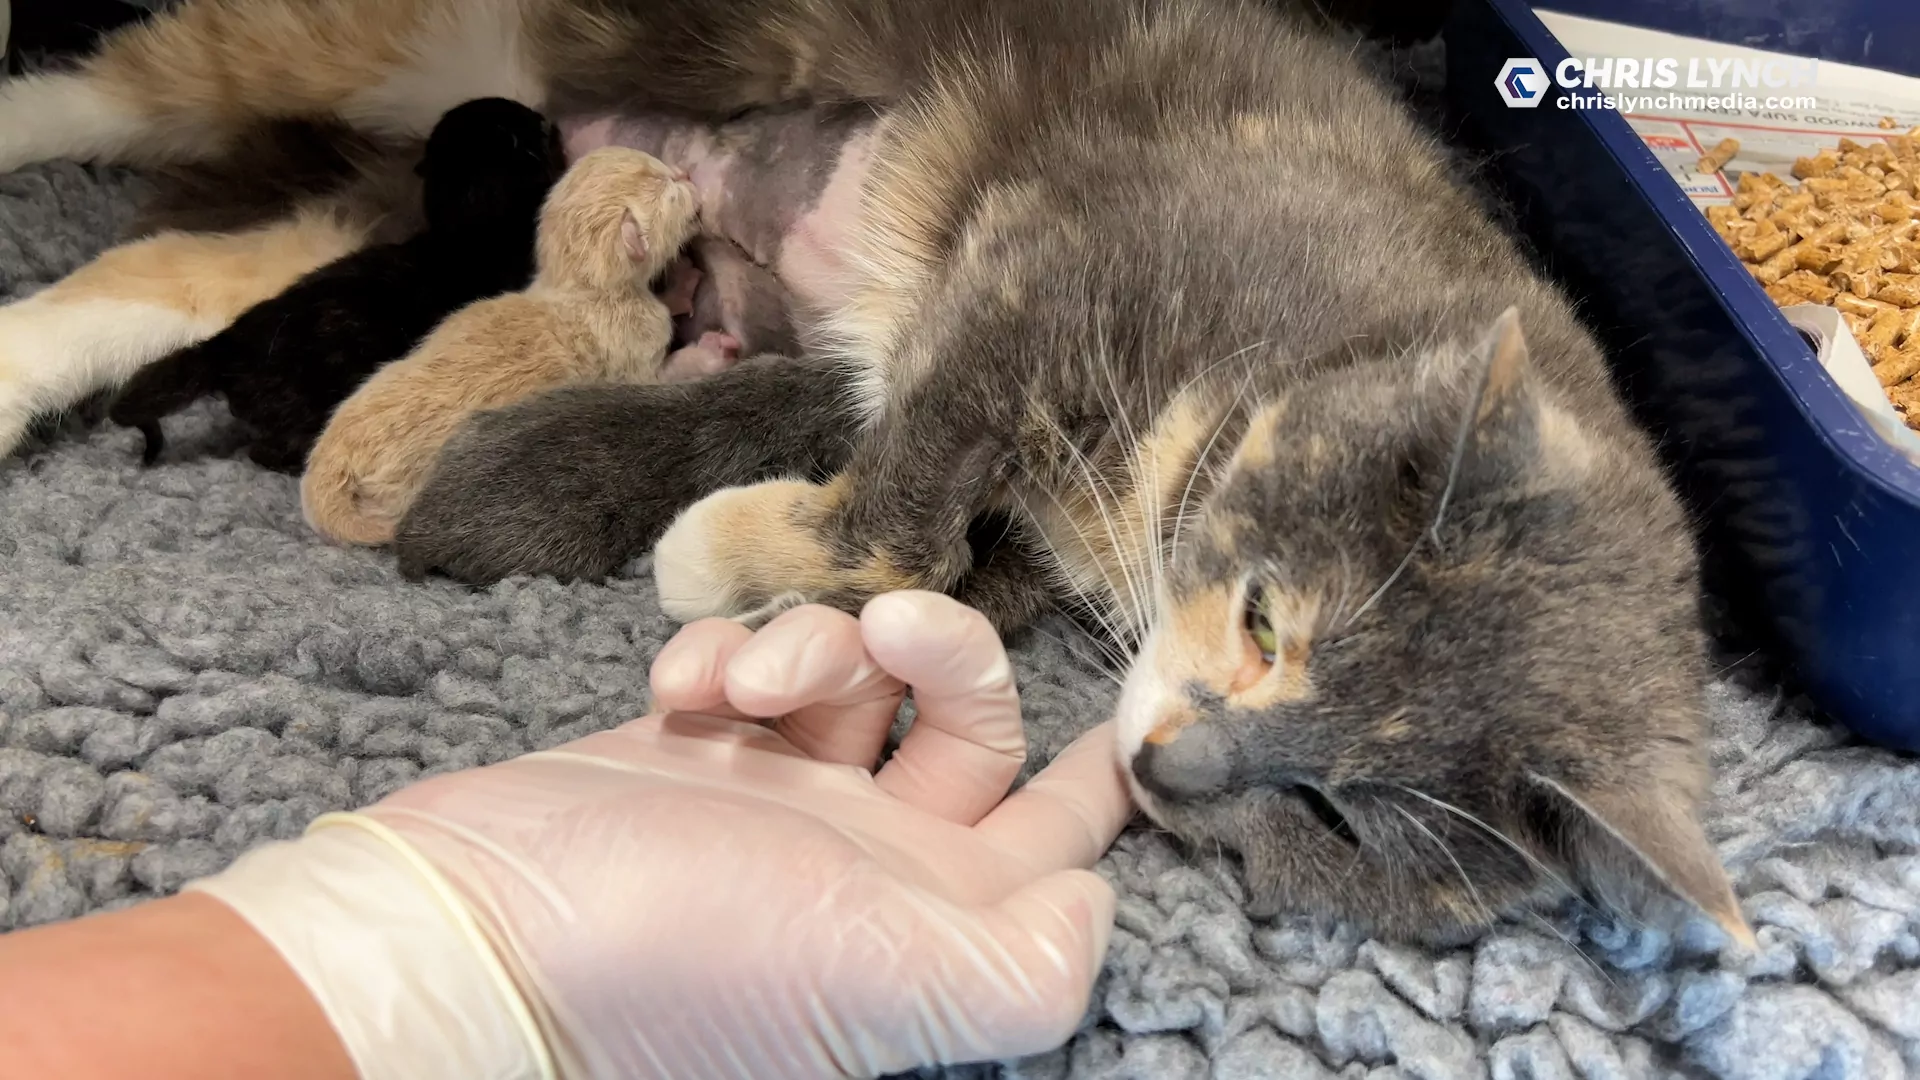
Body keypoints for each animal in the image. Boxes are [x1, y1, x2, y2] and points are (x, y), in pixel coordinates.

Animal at [108, 97, 564, 470]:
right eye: (531, 124)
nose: (550, 120)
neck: (464, 231)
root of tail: (225, 346)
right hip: (304, 412)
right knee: (265, 451)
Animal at [303, 145, 710, 538]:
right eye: (669, 190)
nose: (686, 174)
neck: (581, 288)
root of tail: (327, 463)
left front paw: (677, 289)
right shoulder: (633, 356)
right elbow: (663, 375)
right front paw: (707, 349)